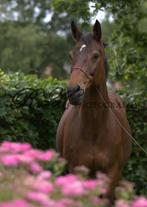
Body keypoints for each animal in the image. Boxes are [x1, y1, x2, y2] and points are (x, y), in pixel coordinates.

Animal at [56, 19, 132, 201]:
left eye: (96, 55)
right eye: (71, 55)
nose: (73, 91)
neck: (95, 129)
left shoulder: (111, 174)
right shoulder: (76, 170)